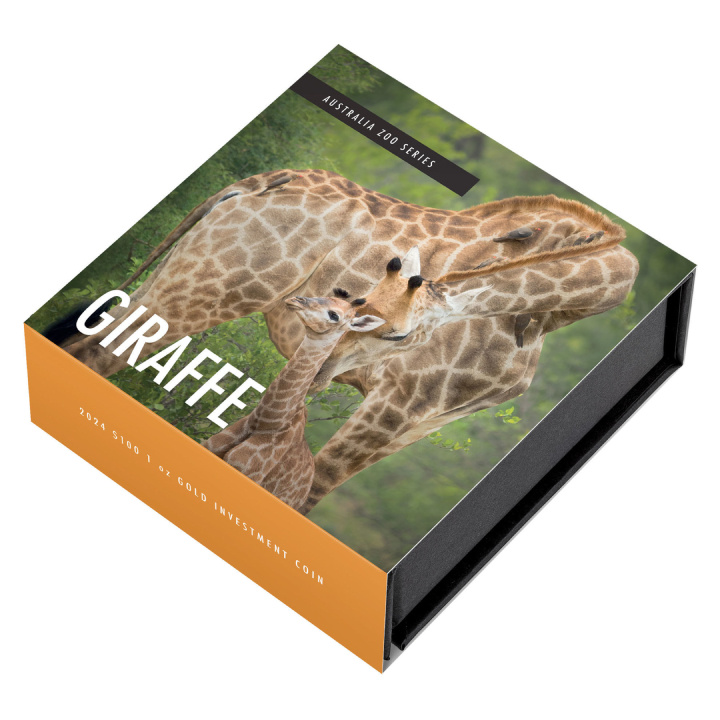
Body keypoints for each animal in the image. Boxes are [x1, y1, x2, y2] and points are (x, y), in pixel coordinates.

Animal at [202, 294, 384, 510]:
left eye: (334, 315)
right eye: (327, 296)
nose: (296, 299)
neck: (267, 420)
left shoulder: (246, 473)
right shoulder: (208, 448)